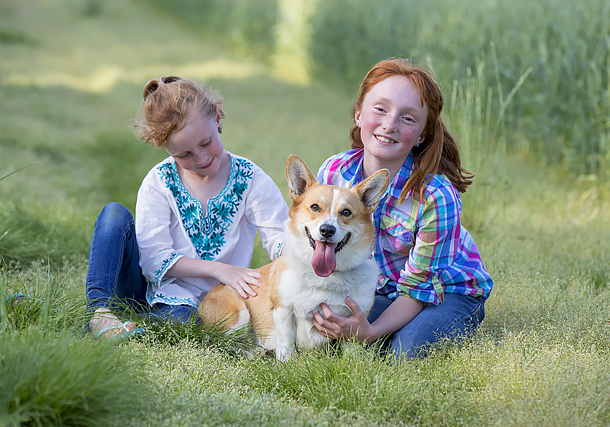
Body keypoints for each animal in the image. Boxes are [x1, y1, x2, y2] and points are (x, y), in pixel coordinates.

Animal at [197, 155, 388, 360]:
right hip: (238, 314)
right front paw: (285, 362)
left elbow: (351, 353)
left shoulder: (352, 322)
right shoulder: (283, 309)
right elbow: (286, 342)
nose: (327, 230)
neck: (327, 277)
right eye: (315, 207)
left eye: (346, 212)